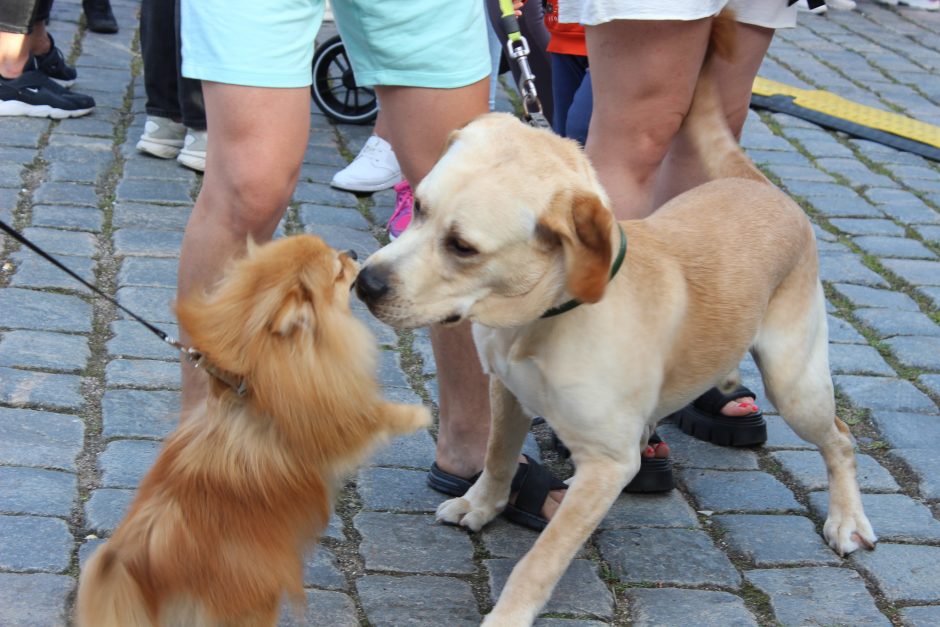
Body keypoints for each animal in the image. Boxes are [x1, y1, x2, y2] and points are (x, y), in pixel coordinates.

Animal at [77, 236, 430, 627]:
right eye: (338, 271)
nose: (353, 253)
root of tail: (139, 561)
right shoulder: (339, 423)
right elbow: (375, 417)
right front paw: (419, 414)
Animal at [354, 20, 872, 627]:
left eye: (462, 247)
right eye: (419, 207)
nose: (363, 284)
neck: (543, 320)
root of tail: (760, 185)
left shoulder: (606, 465)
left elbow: (540, 559)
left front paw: (508, 614)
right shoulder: (506, 392)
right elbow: (497, 459)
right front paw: (481, 505)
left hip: (795, 386)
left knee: (841, 440)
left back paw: (848, 519)